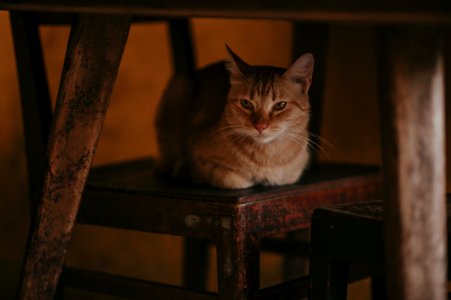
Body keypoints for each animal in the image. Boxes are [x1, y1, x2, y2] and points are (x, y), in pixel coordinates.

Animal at [155, 46, 314, 189]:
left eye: (280, 105)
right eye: (246, 103)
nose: (260, 126)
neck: (267, 157)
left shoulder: (292, 174)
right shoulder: (197, 159)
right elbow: (234, 180)